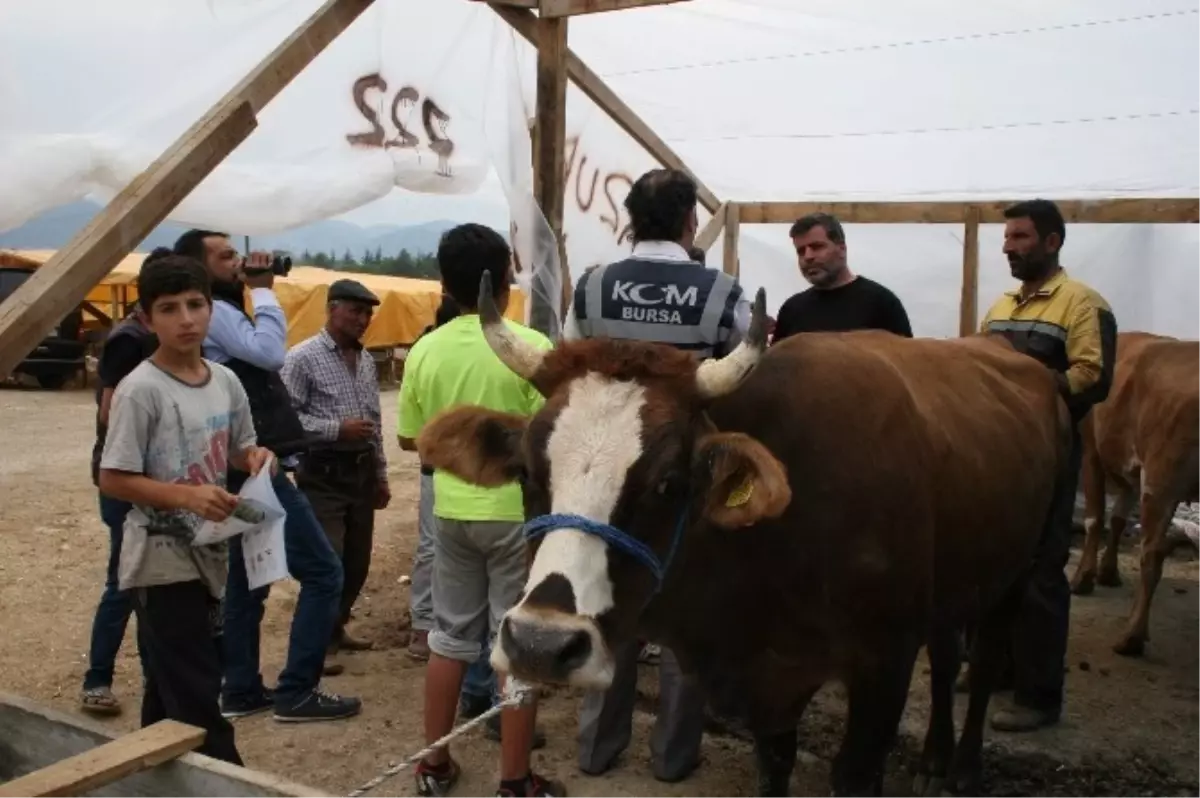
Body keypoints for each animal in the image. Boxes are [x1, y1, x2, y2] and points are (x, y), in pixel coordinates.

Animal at [420, 276, 1070, 796]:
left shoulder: (883, 669)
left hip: (1019, 570)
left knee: (982, 664)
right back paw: (934, 758)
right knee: (948, 653)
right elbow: (775, 763)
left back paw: (961, 769)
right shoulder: (769, 688)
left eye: (669, 483)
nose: (540, 644)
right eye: (527, 472)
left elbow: (856, 772)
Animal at [1070, 328, 1200, 652]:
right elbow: (1117, 520)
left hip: (1161, 481)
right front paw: (1108, 571)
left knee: (1152, 554)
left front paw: (1083, 577)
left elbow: (1095, 519)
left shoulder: (1091, 453)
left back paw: (1132, 636)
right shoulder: (1130, 472)